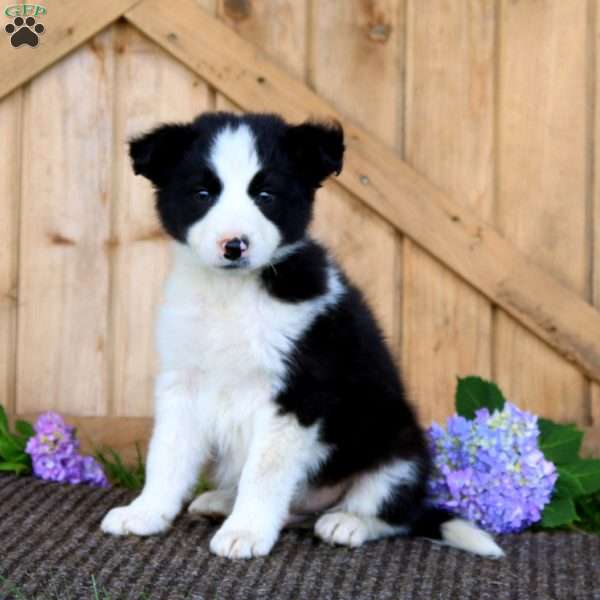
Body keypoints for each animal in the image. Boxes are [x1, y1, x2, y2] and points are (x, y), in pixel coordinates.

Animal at [101, 112, 504, 564]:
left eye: (266, 195)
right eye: (202, 194)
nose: (234, 246)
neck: (232, 294)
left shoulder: (297, 393)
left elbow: (264, 472)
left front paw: (245, 532)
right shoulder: (183, 382)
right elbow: (167, 455)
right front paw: (145, 513)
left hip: (400, 448)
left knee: (392, 512)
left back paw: (347, 522)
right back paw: (221, 502)